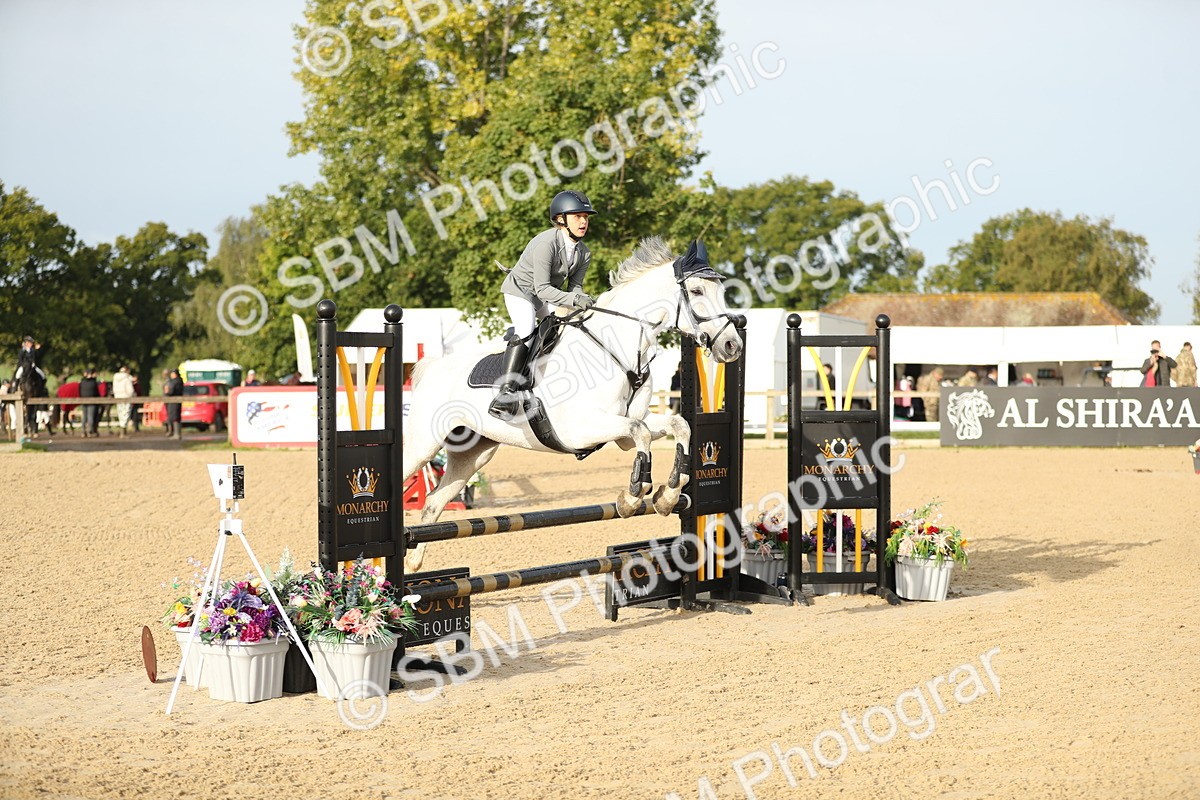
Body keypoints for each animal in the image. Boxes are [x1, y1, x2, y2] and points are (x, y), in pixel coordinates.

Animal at [401, 237, 741, 572]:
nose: (732, 346)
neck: (618, 348)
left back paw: (414, 562)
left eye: (721, 292)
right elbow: (640, 431)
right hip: (424, 445)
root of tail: (432, 367)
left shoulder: (626, 430)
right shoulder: (582, 429)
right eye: (696, 291)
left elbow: (677, 425)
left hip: (473, 453)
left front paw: (668, 494)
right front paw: (632, 496)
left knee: (434, 500)